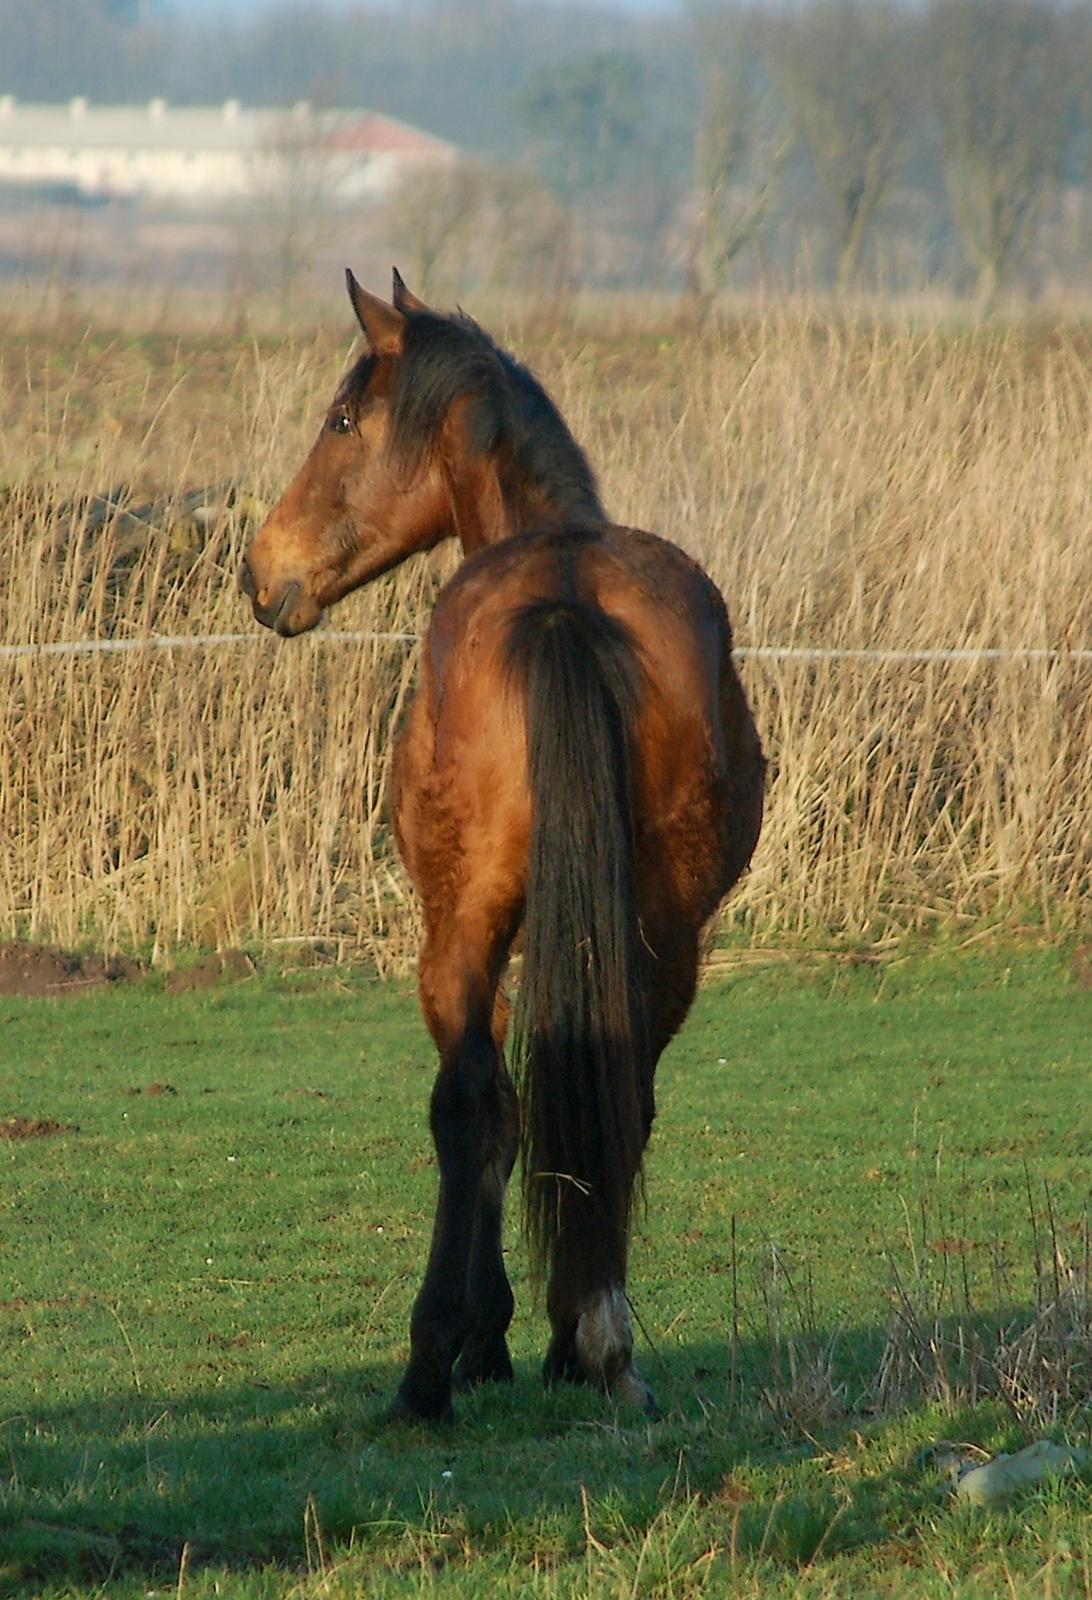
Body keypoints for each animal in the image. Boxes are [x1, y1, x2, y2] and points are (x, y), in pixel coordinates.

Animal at [238, 268, 762, 1420]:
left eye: (341, 420)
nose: (258, 573)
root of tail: (565, 601)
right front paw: (551, 1337)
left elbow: (490, 1108)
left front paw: (480, 1337)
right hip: (664, 935)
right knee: (617, 1088)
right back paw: (600, 1345)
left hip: (458, 928)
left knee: (469, 1103)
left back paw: (433, 1366)